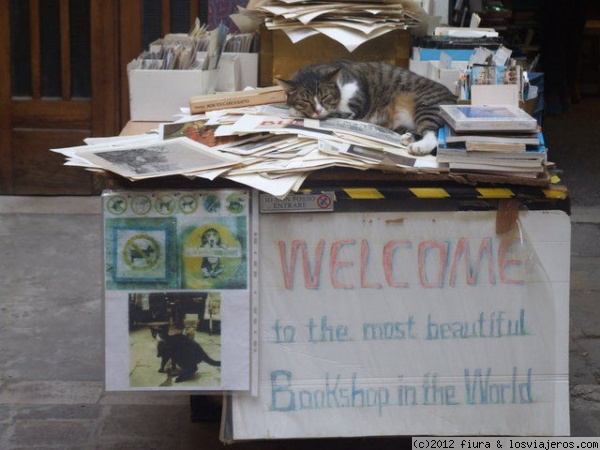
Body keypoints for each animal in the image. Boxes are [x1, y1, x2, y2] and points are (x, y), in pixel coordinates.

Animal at [278, 60, 458, 156]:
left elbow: (334, 114)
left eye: (325, 97)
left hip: (427, 104)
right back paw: (409, 138)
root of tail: (455, 98)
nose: (317, 110)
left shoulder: (356, 106)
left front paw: (295, 111)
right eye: (305, 101)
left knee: (433, 133)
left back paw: (419, 146)